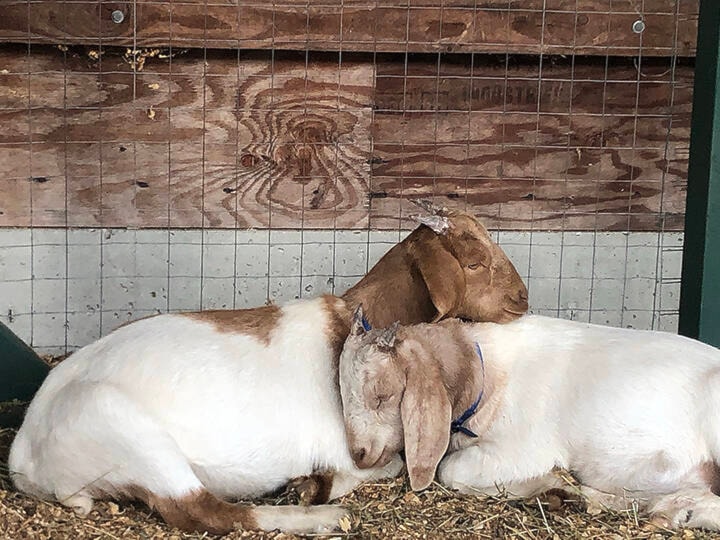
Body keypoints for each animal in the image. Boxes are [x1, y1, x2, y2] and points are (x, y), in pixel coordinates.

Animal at [340, 314, 720, 528]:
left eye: (382, 394)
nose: (359, 453)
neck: (488, 376)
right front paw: (557, 488)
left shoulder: (523, 449)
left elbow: (451, 470)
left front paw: (551, 481)